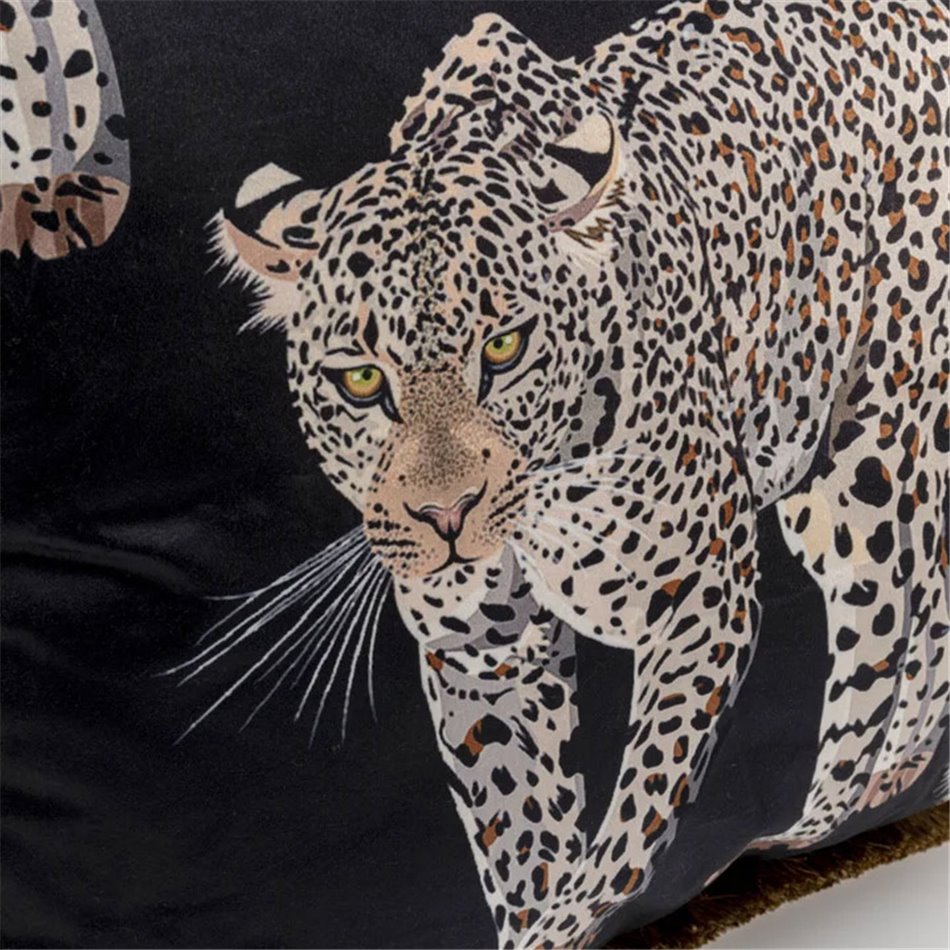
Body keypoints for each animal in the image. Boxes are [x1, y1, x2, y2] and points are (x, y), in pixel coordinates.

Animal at [204, 2, 949, 946]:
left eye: (504, 347)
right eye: (363, 380)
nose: (447, 516)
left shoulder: (699, 597)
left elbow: (629, 827)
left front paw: (573, 915)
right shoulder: (483, 651)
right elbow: (518, 829)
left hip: (878, 453)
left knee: (906, 601)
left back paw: (867, 788)